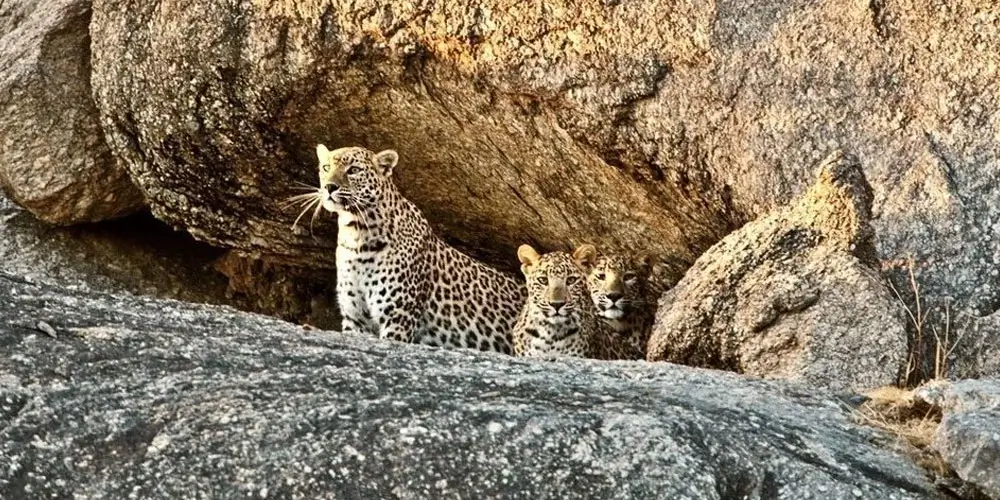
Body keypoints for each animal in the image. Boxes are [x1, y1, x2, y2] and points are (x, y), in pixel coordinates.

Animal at [289, 144, 526, 353]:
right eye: (326, 167)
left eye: (354, 170)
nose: (329, 187)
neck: (356, 236)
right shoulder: (356, 319)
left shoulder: (398, 317)